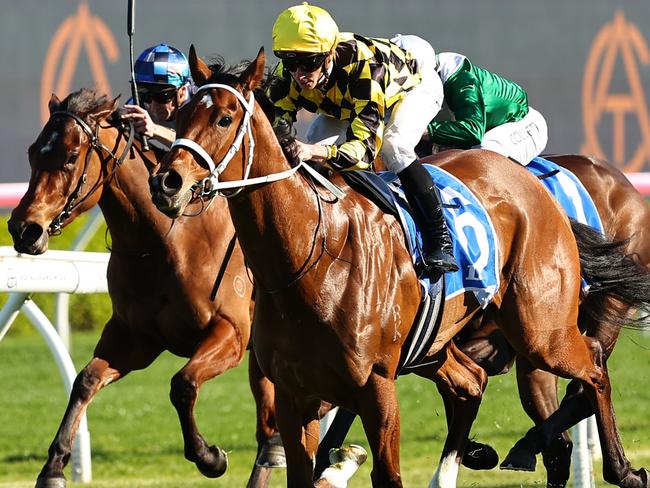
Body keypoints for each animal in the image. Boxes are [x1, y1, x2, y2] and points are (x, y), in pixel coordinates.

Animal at [8, 89, 260, 486]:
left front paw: (210, 457)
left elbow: (183, 383)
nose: (23, 229)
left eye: (71, 156)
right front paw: (54, 467)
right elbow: (85, 380)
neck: (166, 240)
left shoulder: (231, 333)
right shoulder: (135, 338)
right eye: (33, 152)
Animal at [149, 46, 648, 488]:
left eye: (224, 118)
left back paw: (621, 469)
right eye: (180, 115)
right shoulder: (294, 393)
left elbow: (384, 473)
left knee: (593, 369)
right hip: (440, 344)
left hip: (541, 330)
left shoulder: (376, 386)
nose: (167, 181)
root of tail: (529, 181)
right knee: (473, 384)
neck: (311, 257)